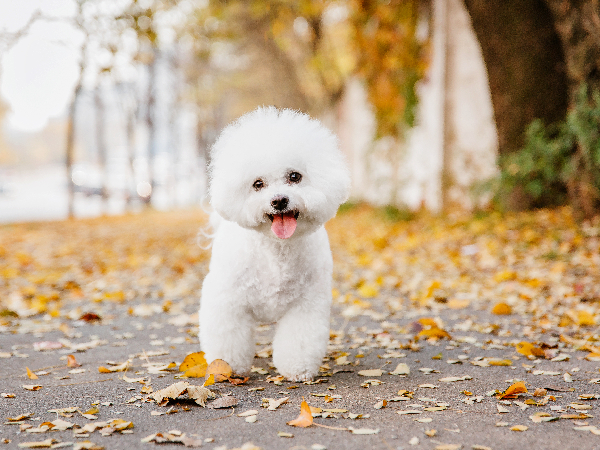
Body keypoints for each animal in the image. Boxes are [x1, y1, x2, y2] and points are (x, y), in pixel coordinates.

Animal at [200, 107, 352, 382]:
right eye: (258, 184)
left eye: (294, 176)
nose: (279, 200)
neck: (276, 251)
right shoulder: (228, 300)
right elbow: (228, 337)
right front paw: (226, 367)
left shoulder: (306, 303)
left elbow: (299, 340)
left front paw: (297, 369)